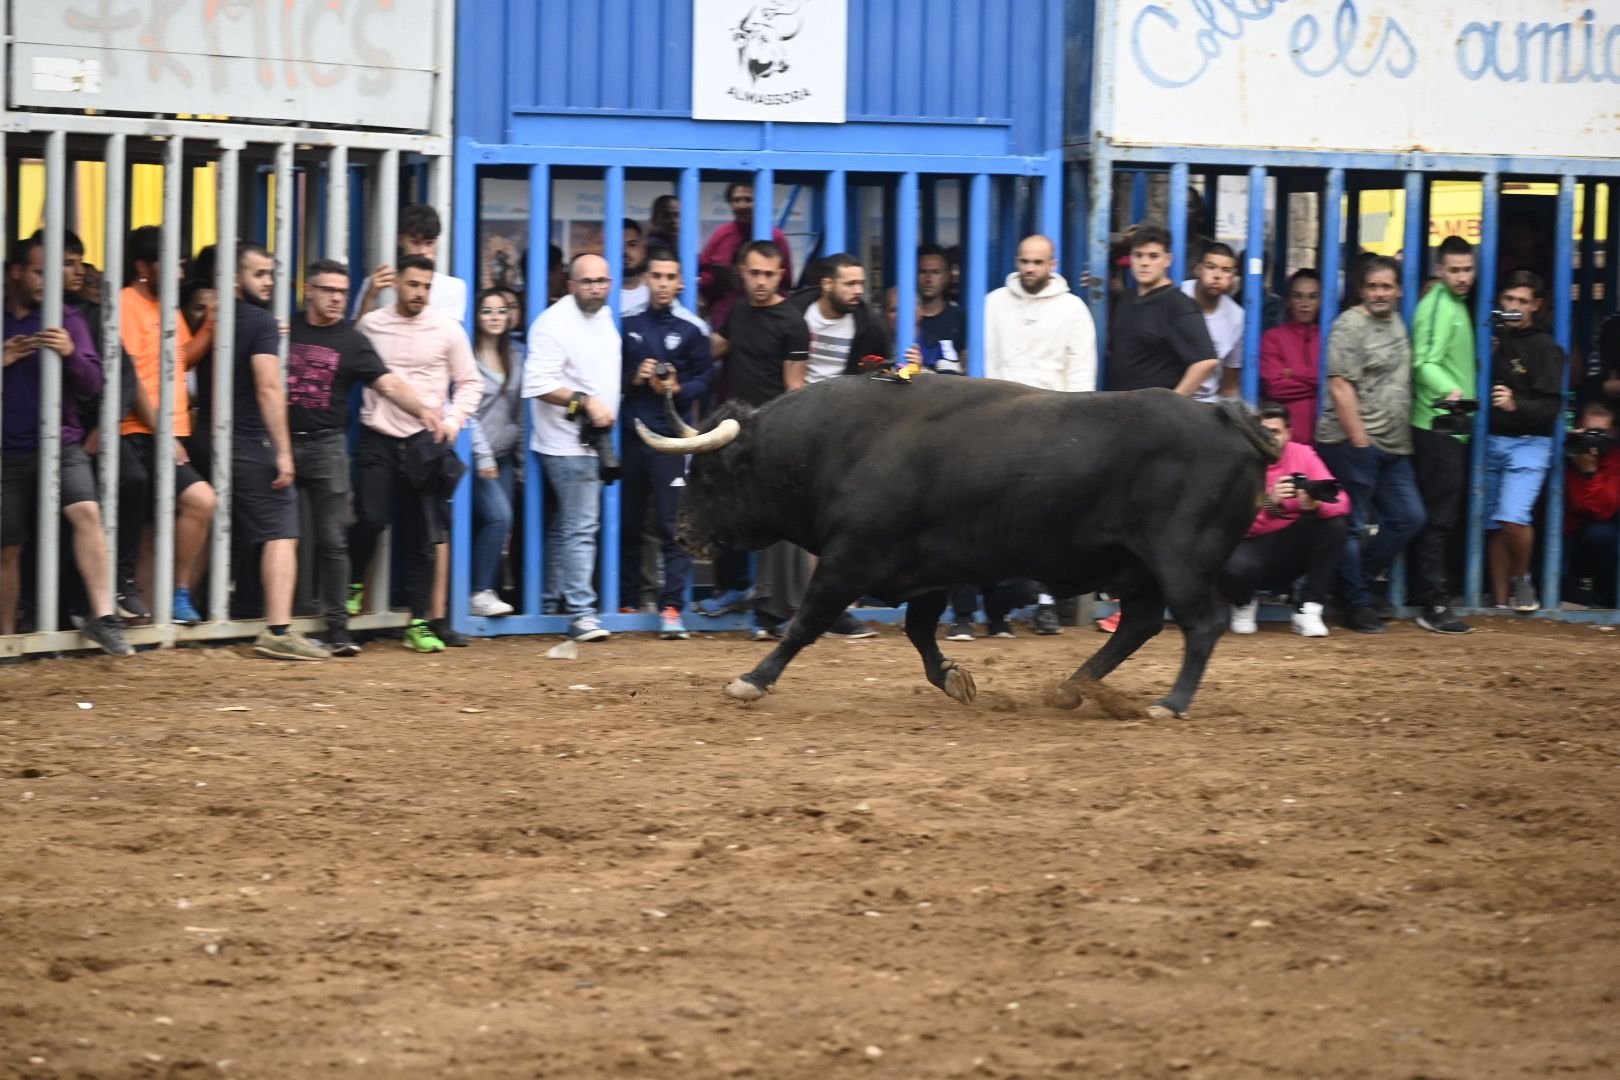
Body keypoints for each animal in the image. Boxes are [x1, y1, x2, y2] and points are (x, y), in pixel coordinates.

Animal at [631, 375, 1276, 722]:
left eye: (709, 473)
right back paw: (1072, 687)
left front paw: (752, 679)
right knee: (1139, 624)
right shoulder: (927, 575)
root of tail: (1226, 418)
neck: (839, 444)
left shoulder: (850, 561)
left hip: (1180, 561)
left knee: (1200, 626)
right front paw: (954, 678)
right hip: (1139, 569)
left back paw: (1171, 701)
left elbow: (804, 623)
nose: (683, 534)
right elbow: (920, 634)